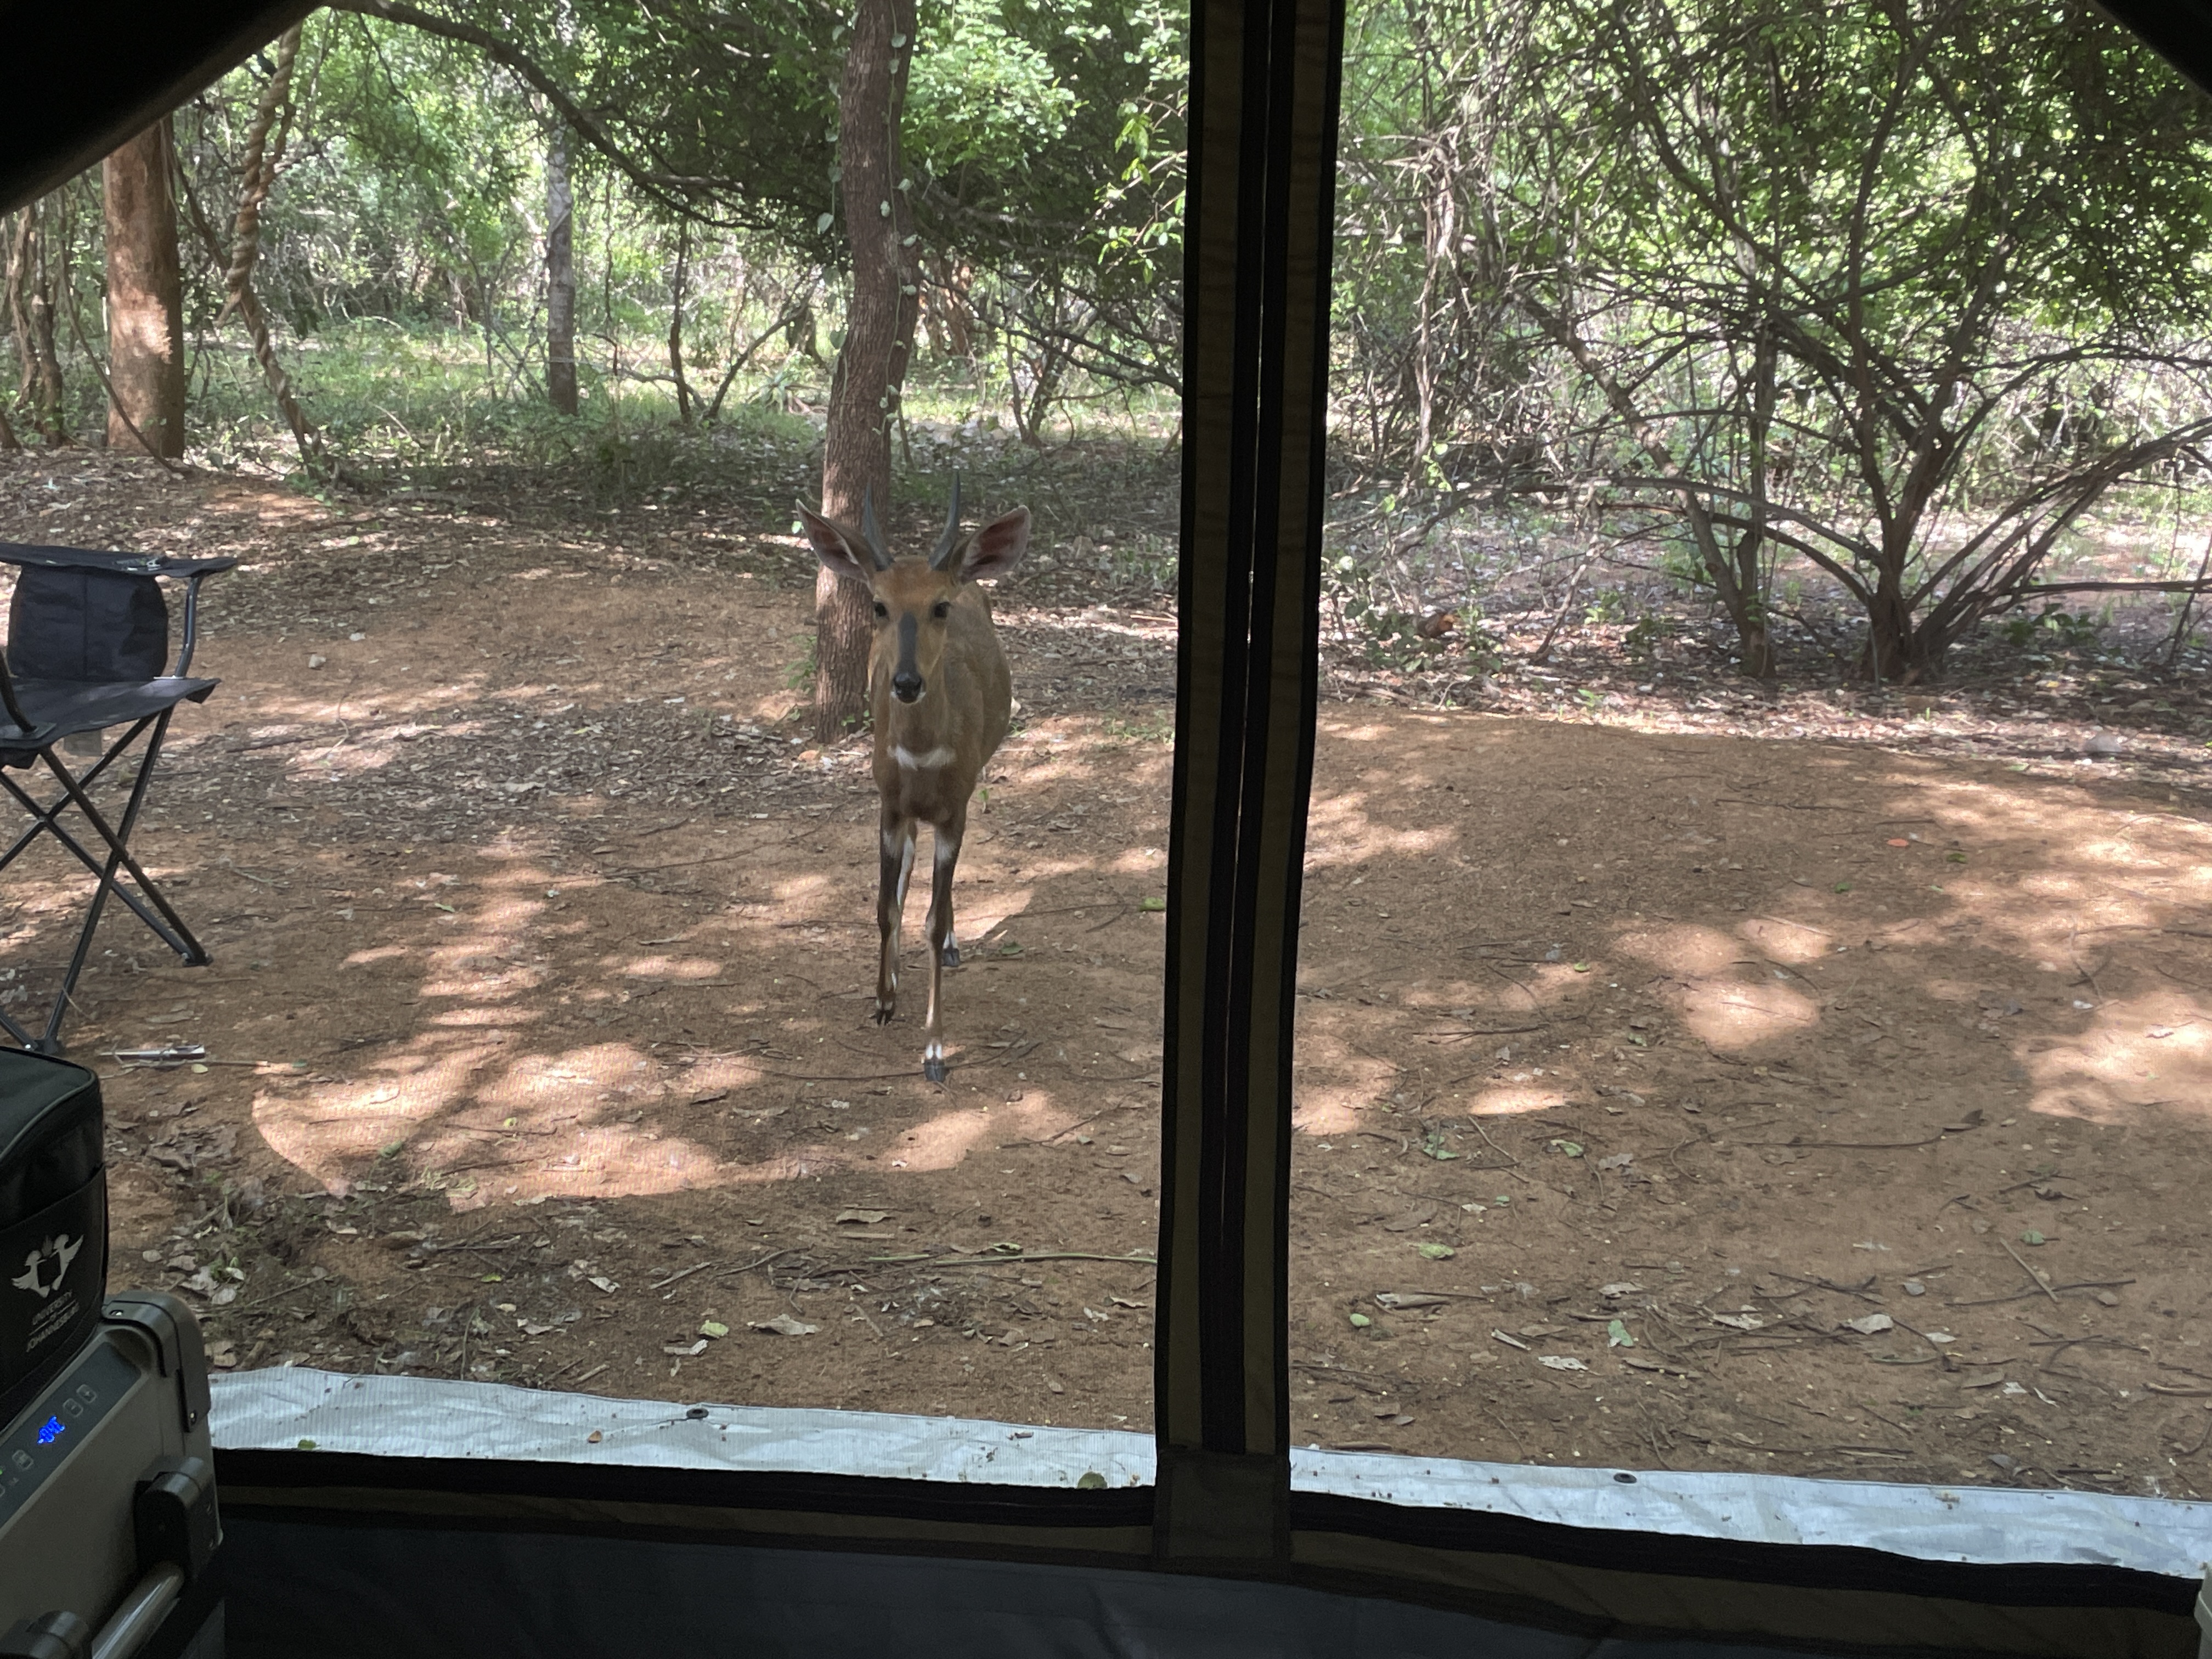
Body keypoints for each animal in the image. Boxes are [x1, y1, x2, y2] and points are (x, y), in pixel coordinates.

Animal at [798, 479, 1029, 1083]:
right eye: (879, 605)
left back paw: (950, 945)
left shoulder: (954, 806)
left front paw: (935, 1052)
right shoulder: (889, 802)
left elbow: (931, 915)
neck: (923, 754)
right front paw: (883, 998)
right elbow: (885, 903)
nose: (905, 682)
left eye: (938, 607)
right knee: (905, 872)